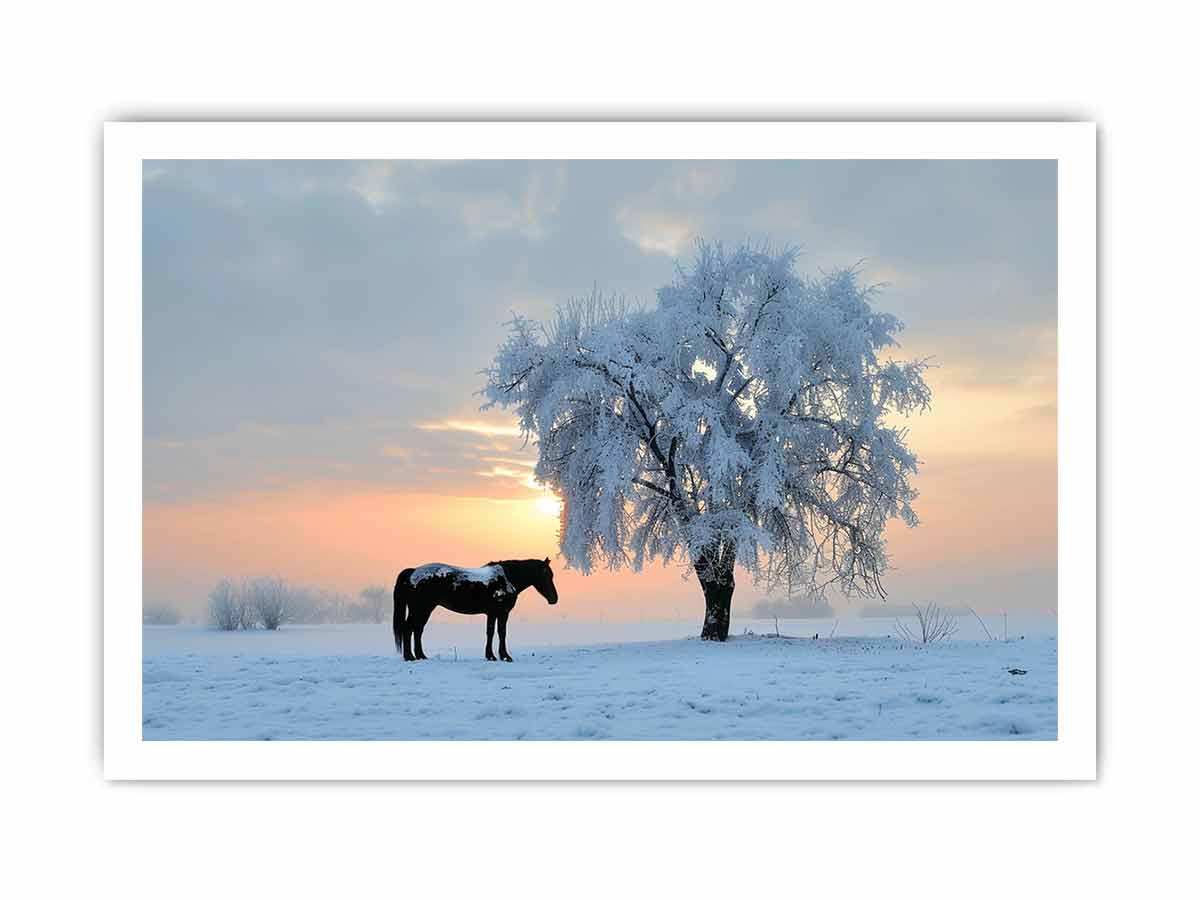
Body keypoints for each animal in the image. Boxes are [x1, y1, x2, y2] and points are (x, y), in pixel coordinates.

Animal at [392, 558, 558, 662]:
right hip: (420, 609)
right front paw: (503, 656)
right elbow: (500, 633)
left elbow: (491, 633)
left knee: (417, 630)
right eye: (547, 575)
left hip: (425, 610)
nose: (554, 599)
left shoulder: (493, 613)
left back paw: (421, 656)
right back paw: (410, 657)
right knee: (409, 629)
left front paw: (492, 656)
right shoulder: (501, 613)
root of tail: (413, 572)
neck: (507, 578)